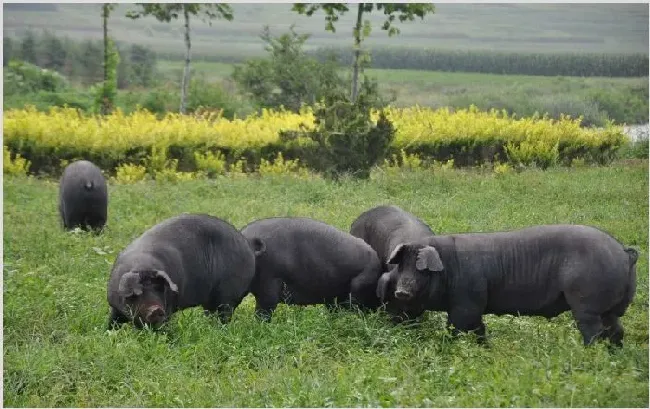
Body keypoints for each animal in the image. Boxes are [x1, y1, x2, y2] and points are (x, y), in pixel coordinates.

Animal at [107, 214, 256, 328]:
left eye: (158, 288)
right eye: (137, 293)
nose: (156, 309)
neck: (142, 265)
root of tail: (248, 246)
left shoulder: (169, 306)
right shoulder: (115, 306)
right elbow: (113, 320)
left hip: (228, 294)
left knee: (224, 313)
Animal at [378, 223, 636, 344]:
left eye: (420, 269)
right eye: (401, 266)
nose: (401, 291)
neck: (449, 269)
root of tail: (625, 253)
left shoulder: (466, 304)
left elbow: (457, 328)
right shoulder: (473, 308)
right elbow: (479, 329)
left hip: (586, 304)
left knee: (594, 332)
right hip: (610, 308)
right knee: (616, 329)